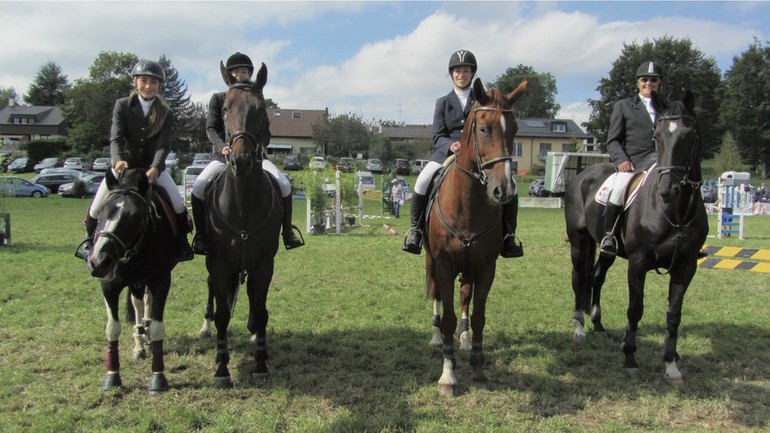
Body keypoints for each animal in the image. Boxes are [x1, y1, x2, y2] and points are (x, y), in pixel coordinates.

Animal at [85, 168, 177, 394]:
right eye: (101, 211)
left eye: (135, 217)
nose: (98, 261)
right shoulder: (109, 284)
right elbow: (112, 327)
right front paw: (112, 377)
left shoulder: (161, 281)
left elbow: (157, 327)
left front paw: (158, 379)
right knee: (137, 303)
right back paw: (139, 345)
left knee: (145, 302)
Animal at [424, 77, 524, 394]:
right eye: (483, 128)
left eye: (515, 130)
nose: (503, 190)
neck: (468, 205)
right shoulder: (444, 266)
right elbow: (447, 317)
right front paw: (447, 374)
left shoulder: (486, 267)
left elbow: (478, 315)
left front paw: (478, 368)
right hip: (431, 262)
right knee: (436, 296)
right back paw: (435, 337)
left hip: (468, 267)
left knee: (465, 296)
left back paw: (465, 340)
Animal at [560, 89, 704, 384]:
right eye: (656, 136)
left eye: (690, 135)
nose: (668, 189)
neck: (675, 211)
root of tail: (582, 175)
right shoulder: (638, 263)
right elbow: (635, 308)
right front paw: (630, 358)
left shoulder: (686, 266)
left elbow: (674, 314)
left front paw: (671, 364)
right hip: (580, 241)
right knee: (579, 277)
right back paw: (579, 328)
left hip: (608, 249)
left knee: (596, 276)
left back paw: (598, 324)